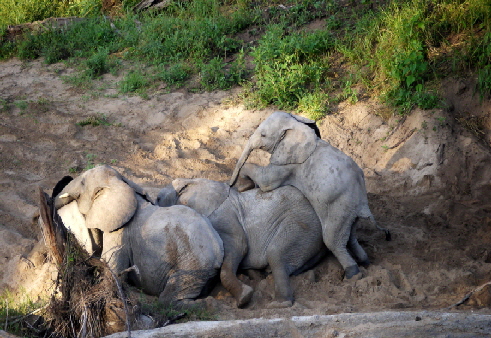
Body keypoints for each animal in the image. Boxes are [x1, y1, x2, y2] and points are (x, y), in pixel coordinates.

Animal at [53, 165, 223, 304]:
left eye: (82, 183)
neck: (119, 183)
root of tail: (219, 252)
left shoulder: (119, 233)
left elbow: (112, 270)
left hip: (192, 265)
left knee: (170, 299)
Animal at [158, 178, 326, 308]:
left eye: (182, 189)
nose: (156, 199)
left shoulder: (224, 215)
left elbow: (239, 246)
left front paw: (244, 298)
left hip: (301, 222)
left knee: (275, 254)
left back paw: (280, 304)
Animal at [231, 111, 392, 280]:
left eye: (263, 135)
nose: (230, 185)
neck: (296, 126)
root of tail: (363, 205)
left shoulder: (290, 164)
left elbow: (266, 182)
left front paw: (245, 184)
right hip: (350, 211)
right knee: (350, 235)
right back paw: (365, 262)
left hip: (340, 207)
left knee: (332, 239)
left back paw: (352, 273)